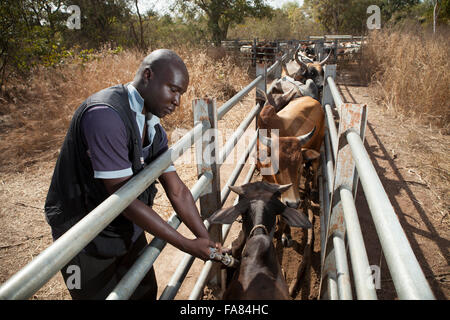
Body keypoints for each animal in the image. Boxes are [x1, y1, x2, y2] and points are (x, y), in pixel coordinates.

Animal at [255, 91, 326, 246]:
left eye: (297, 168)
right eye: (277, 168)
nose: (294, 203)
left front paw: (285, 234)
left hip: (318, 143)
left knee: (316, 164)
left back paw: (314, 188)